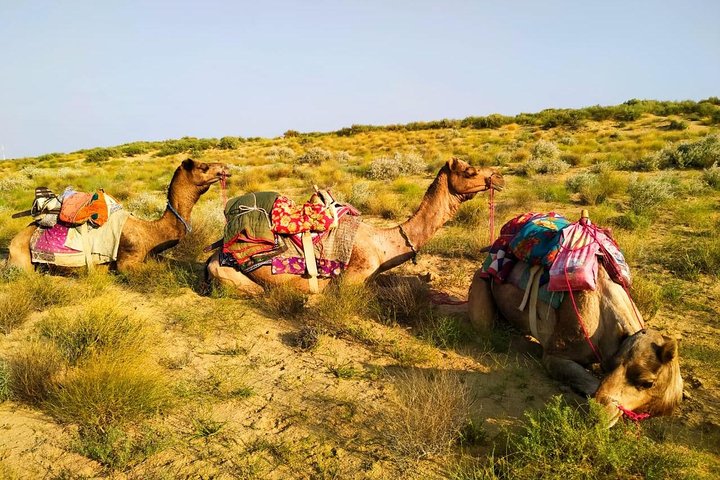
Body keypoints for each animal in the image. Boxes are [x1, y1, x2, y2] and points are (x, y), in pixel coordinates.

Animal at [207, 158, 504, 293]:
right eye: (470, 171)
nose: (499, 177)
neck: (382, 244)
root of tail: (214, 255)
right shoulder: (352, 278)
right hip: (231, 275)